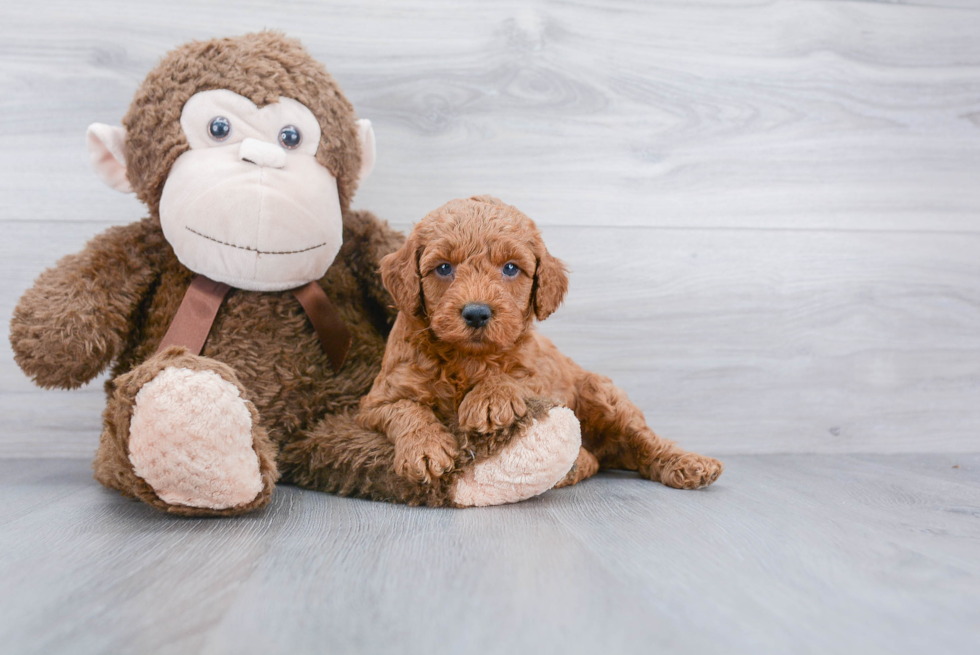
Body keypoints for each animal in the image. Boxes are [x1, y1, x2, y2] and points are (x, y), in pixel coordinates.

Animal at [358, 195, 720, 498]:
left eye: (510, 268)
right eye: (444, 268)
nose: (476, 313)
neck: (467, 357)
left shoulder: (541, 376)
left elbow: (516, 378)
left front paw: (489, 398)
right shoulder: (378, 399)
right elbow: (405, 409)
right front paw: (425, 449)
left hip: (603, 395)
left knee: (644, 441)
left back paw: (690, 464)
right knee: (598, 460)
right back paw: (575, 466)